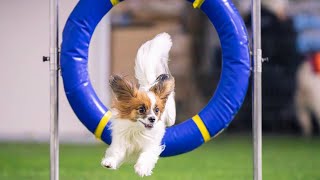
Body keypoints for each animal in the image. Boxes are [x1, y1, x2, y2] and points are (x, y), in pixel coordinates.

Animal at [101, 33, 176, 176]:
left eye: (156, 110)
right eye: (141, 109)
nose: (152, 119)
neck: (137, 130)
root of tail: (148, 85)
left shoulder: (151, 145)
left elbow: (146, 155)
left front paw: (142, 169)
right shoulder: (121, 141)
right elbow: (116, 152)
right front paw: (110, 162)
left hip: (170, 116)